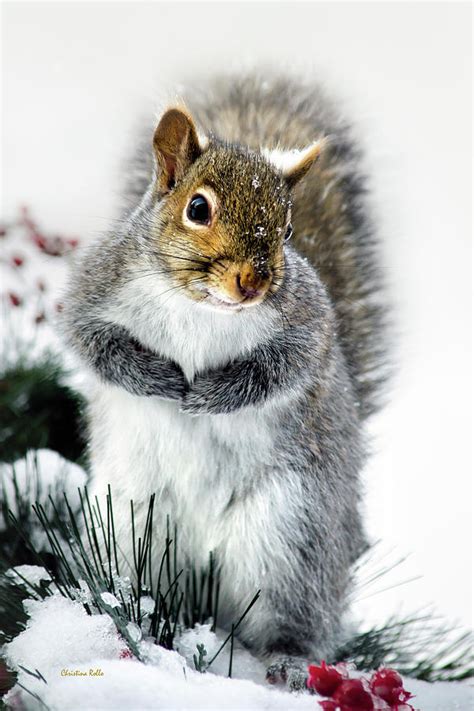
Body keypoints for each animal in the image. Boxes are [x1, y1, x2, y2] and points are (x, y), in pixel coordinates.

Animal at [62, 73, 386, 688]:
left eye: (288, 228)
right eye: (197, 208)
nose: (253, 281)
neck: (202, 307)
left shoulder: (308, 324)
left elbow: (279, 369)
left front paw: (212, 394)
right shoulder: (93, 290)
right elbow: (94, 346)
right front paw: (158, 379)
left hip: (293, 534)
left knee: (292, 616)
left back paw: (287, 661)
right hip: (129, 523)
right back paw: (129, 617)